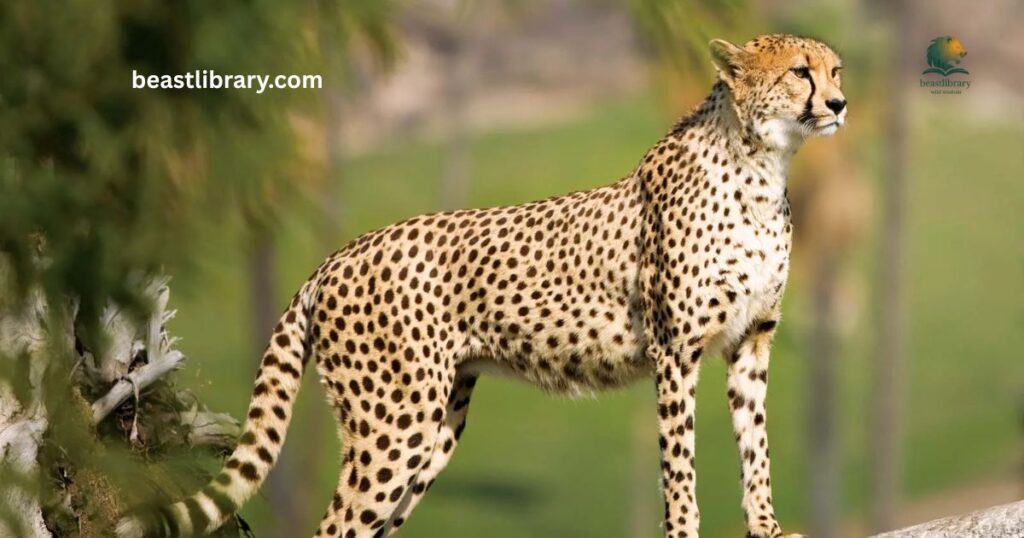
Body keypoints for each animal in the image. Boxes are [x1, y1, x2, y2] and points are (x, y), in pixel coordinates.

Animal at [117, 33, 847, 538]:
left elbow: (755, 445)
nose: (840, 103)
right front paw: (689, 529)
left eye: (834, 69)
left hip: (434, 426)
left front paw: (769, 528)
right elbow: (680, 461)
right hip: (393, 425)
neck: (761, 165)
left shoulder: (751, 343)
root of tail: (337, 255)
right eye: (799, 71)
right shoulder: (676, 351)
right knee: (335, 526)